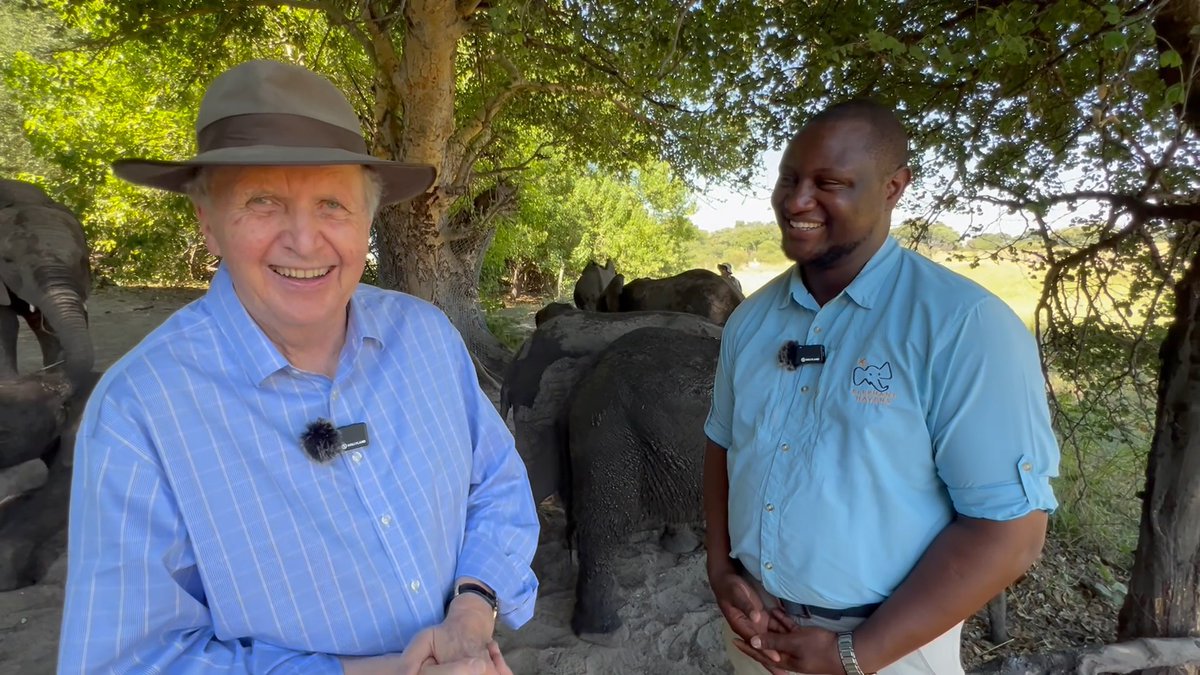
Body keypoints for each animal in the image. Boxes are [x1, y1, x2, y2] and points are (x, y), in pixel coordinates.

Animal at [0, 178, 93, 384]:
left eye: (82, 261)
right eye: (8, 261)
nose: (62, 362)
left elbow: (43, 324)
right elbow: (6, 323)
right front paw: (10, 383)